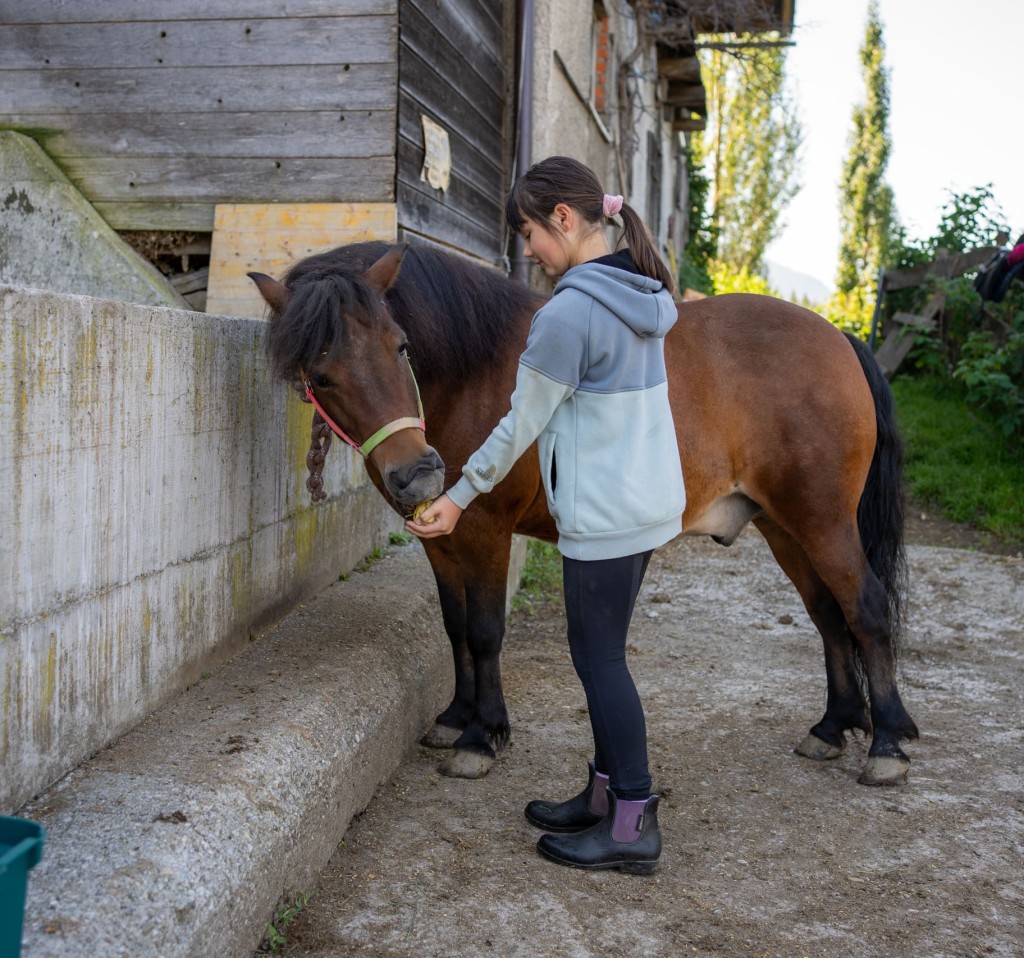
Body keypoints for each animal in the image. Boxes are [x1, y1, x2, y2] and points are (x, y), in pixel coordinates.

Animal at [249, 241, 919, 787]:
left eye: (401, 346)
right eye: (321, 377)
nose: (418, 474)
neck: (472, 370)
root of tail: (839, 338)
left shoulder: (487, 534)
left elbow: (485, 632)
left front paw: (481, 736)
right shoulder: (440, 541)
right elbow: (454, 628)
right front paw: (456, 717)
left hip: (822, 521)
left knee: (865, 608)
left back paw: (886, 743)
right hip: (783, 526)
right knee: (829, 615)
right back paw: (832, 727)